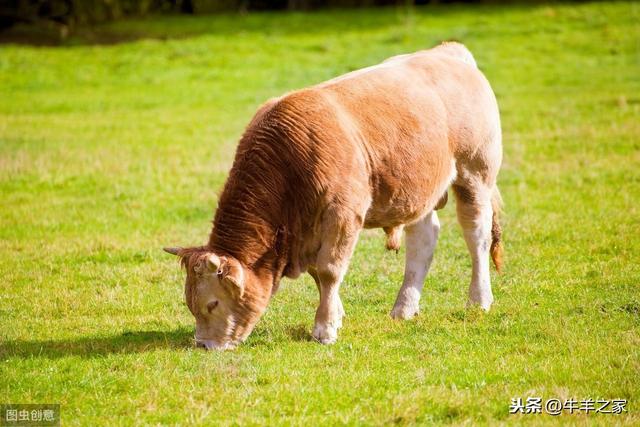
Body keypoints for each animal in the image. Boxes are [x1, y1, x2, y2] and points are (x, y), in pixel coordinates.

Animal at [162, 41, 502, 352]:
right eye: (190, 303)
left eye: (212, 304)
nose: (204, 345)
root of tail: (447, 51)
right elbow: (318, 274)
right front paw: (335, 316)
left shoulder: (342, 216)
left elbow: (328, 271)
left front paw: (324, 329)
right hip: (420, 191)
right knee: (424, 239)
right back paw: (404, 308)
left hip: (475, 175)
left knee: (477, 236)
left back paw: (479, 300)